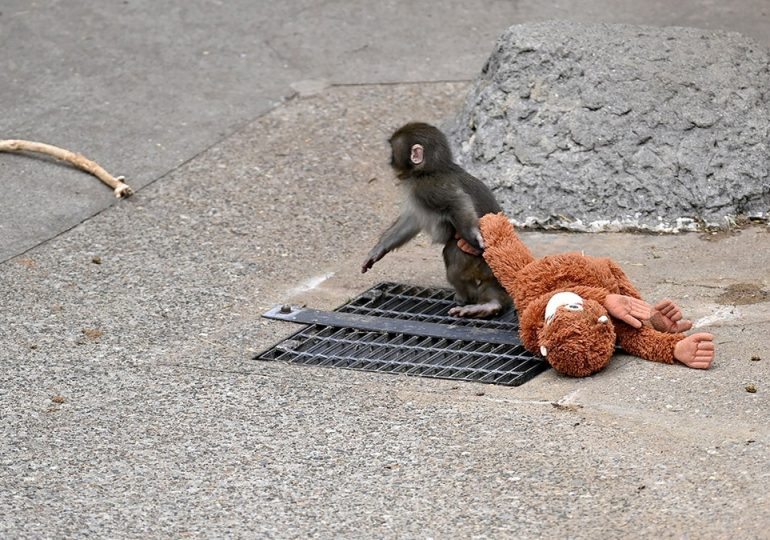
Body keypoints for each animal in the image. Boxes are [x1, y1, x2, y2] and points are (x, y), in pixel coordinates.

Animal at [361, 122, 512, 318]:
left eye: (393, 151)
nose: (389, 161)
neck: (430, 169)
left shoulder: (427, 187)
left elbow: (457, 201)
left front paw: (475, 235)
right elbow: (412, 220)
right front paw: (379, 249)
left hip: (477, 260)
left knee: (452, 257)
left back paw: (467, 297)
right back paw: (490, 305)